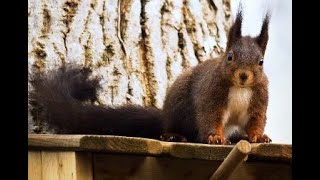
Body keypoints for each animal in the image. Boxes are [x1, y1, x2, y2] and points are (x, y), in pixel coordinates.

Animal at [30, 7, 272, 145]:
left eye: (261, 62)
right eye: (230, 56)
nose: (244, 76)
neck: (240, 89)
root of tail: (164, 115)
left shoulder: (258, 101)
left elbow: (256, 121)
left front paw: (258, 136)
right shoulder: (211, 96)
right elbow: (209, 117)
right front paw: (215, 137)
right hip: (178, 107)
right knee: (174, 127)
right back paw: (173, 136)